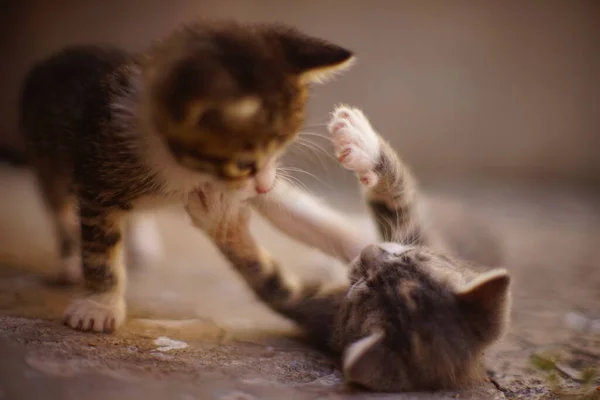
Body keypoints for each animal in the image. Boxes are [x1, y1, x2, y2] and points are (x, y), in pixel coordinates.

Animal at [21, 22, 368, 334]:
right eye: (244, 163)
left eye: (281, 149)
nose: (264, 184)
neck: (187, 168)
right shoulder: (99, 177)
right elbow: (99, 251)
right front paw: (98, 304)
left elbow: (301, 214)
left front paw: (362, 242)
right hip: (49, 158)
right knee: (59, 207)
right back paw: (69, 261)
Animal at [188, 105, 510, 390]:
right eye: (408, 255)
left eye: (365, 288)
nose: (368, 251)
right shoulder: (417, 236)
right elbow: (396, 200)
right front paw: (363, 145)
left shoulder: (318, 313)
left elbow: (267, 277)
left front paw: (221, 216)